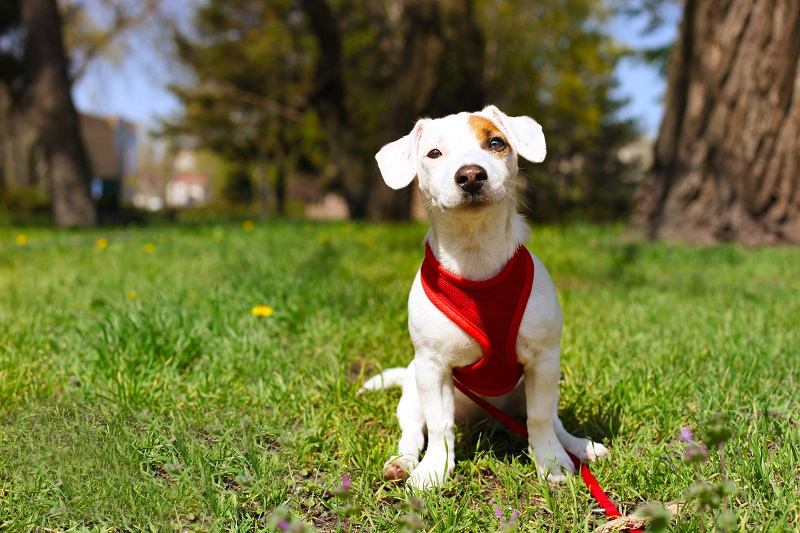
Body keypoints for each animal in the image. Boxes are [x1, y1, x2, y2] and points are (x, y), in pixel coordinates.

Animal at [360, 106, 608, 488]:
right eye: (434, 153)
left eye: (495, 143)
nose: (471, 175)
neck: (475, 257)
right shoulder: (432, 367)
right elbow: (439, 426)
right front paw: (434, 470)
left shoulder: (544, 360)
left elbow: (539, 419)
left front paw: (551, 462)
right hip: (413, 393)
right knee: (413, 432)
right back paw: (402, 462)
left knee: (552, 421)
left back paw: (578, 446)